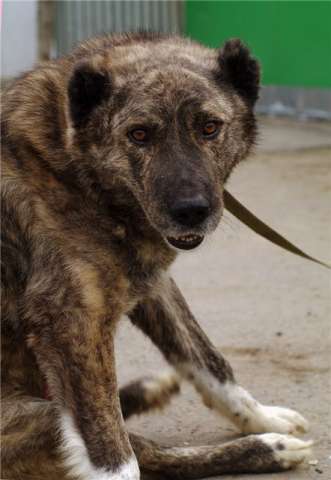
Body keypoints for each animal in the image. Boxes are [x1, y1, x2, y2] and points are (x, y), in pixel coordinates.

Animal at [0, 31, 312, 478]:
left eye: (210, 127)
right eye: (139, 134)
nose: (191, 210)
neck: (70, 164)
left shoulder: (154, 283)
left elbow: (209, 361)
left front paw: (260, 416)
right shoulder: (73, 323)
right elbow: (115, 455)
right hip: (31, 416)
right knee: (146, 451)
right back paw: (267, 448)